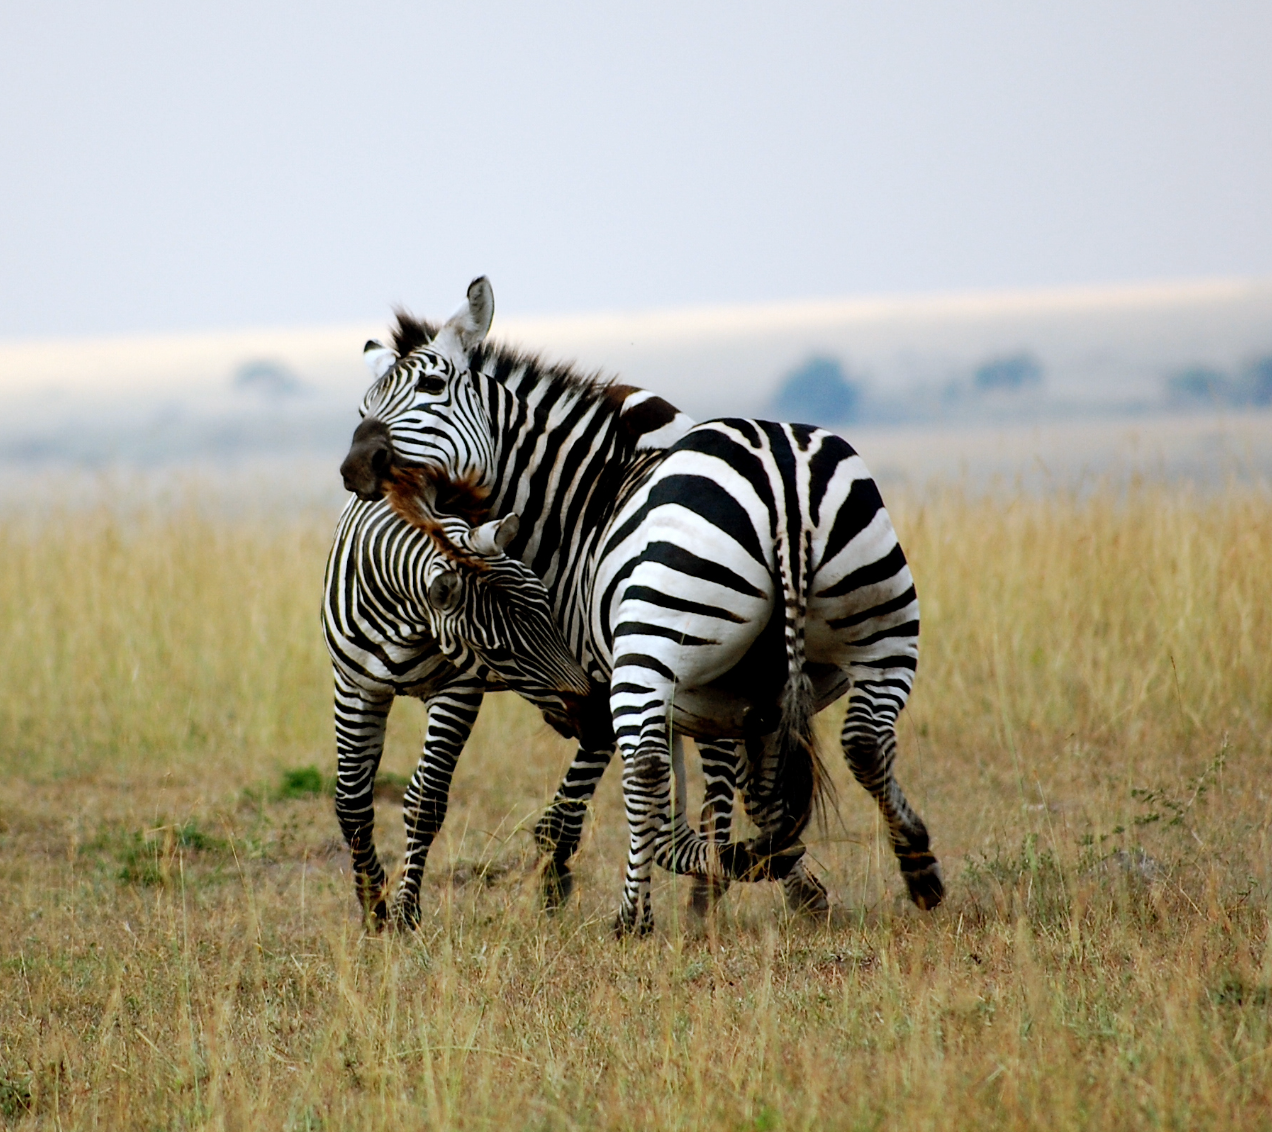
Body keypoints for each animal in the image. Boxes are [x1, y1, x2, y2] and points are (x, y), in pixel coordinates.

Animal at [339, 277, 943, 934]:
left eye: (432, 386)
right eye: (363, 406)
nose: (354, 466)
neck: (581, 501)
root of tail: (780, 474)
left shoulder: (603, 674)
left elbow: (637, 790)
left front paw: (564, 880)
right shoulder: (730, 699)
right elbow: (744, 794)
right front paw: (768, 873)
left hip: (653, 649)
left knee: (649, 768)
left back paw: (634, 919)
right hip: (883, 625)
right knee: (864, 741)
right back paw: (918, 867)